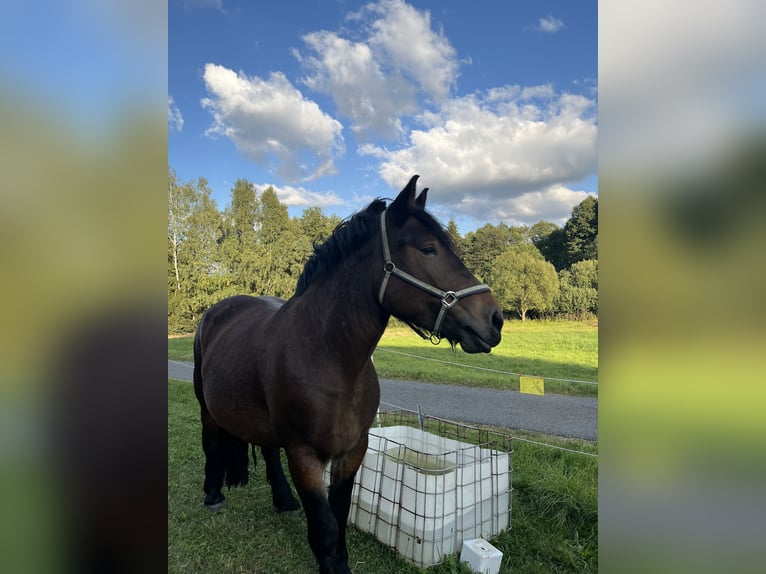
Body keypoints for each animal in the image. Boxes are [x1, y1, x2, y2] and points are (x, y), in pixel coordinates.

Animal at [192, 175, 503, 573]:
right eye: (428, 249)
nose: (495, 319)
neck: (332, 361)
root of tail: (218, 310)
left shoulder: (354, 450)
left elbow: (339, 516)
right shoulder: (304, 455)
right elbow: (324, 526)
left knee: (268, 450)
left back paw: (283, 500)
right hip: (207, 406)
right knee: (211, 441)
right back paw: (213, 493)